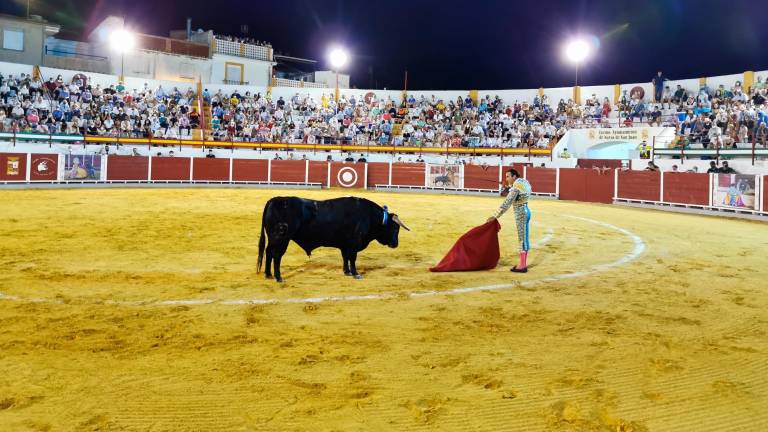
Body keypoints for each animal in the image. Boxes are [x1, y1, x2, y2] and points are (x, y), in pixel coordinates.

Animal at [258, 197, 412, 284]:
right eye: (395, 228)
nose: (395, 244)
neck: (369, 216)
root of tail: (274, 200)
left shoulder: (345, 245)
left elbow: (345, 258)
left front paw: (347, 272)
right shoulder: (354, 244)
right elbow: (353, 259)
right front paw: (356, 274)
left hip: (273, 238)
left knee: (268, 252)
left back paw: (268, 275)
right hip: (282, 238)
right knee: (277, 255)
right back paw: (279, 278)